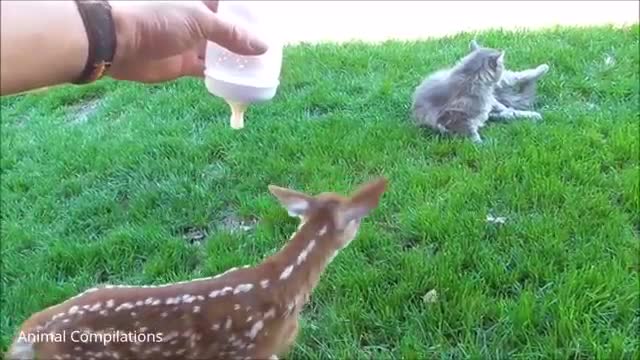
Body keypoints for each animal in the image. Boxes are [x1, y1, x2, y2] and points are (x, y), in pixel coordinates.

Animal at [412, 38, 548, 141]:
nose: (503, 67)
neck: (471, 79)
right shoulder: (453, 119)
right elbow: (472, 133)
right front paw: (483, 145)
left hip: (506, 80)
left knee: (517, 77)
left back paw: (543, 68)